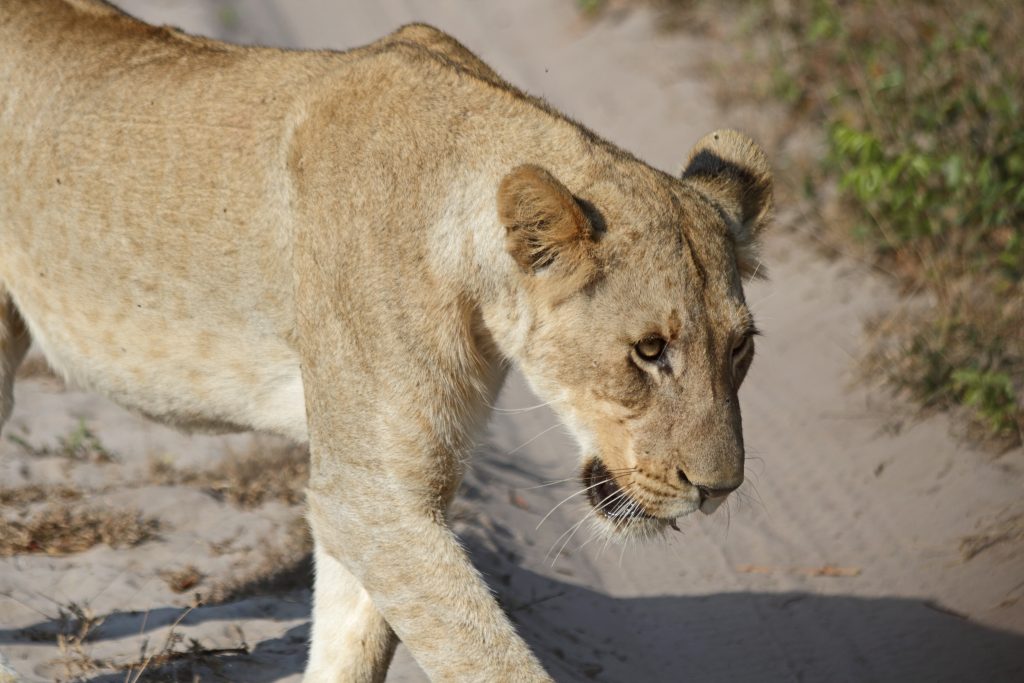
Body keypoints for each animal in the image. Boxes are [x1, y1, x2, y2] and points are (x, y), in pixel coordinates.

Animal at [0, 2, 772, 681]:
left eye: (741, 349)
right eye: (650, 350)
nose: (719, 489)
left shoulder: (400, 489)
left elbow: (355, 640)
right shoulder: (368, 492)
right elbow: (488, 658)